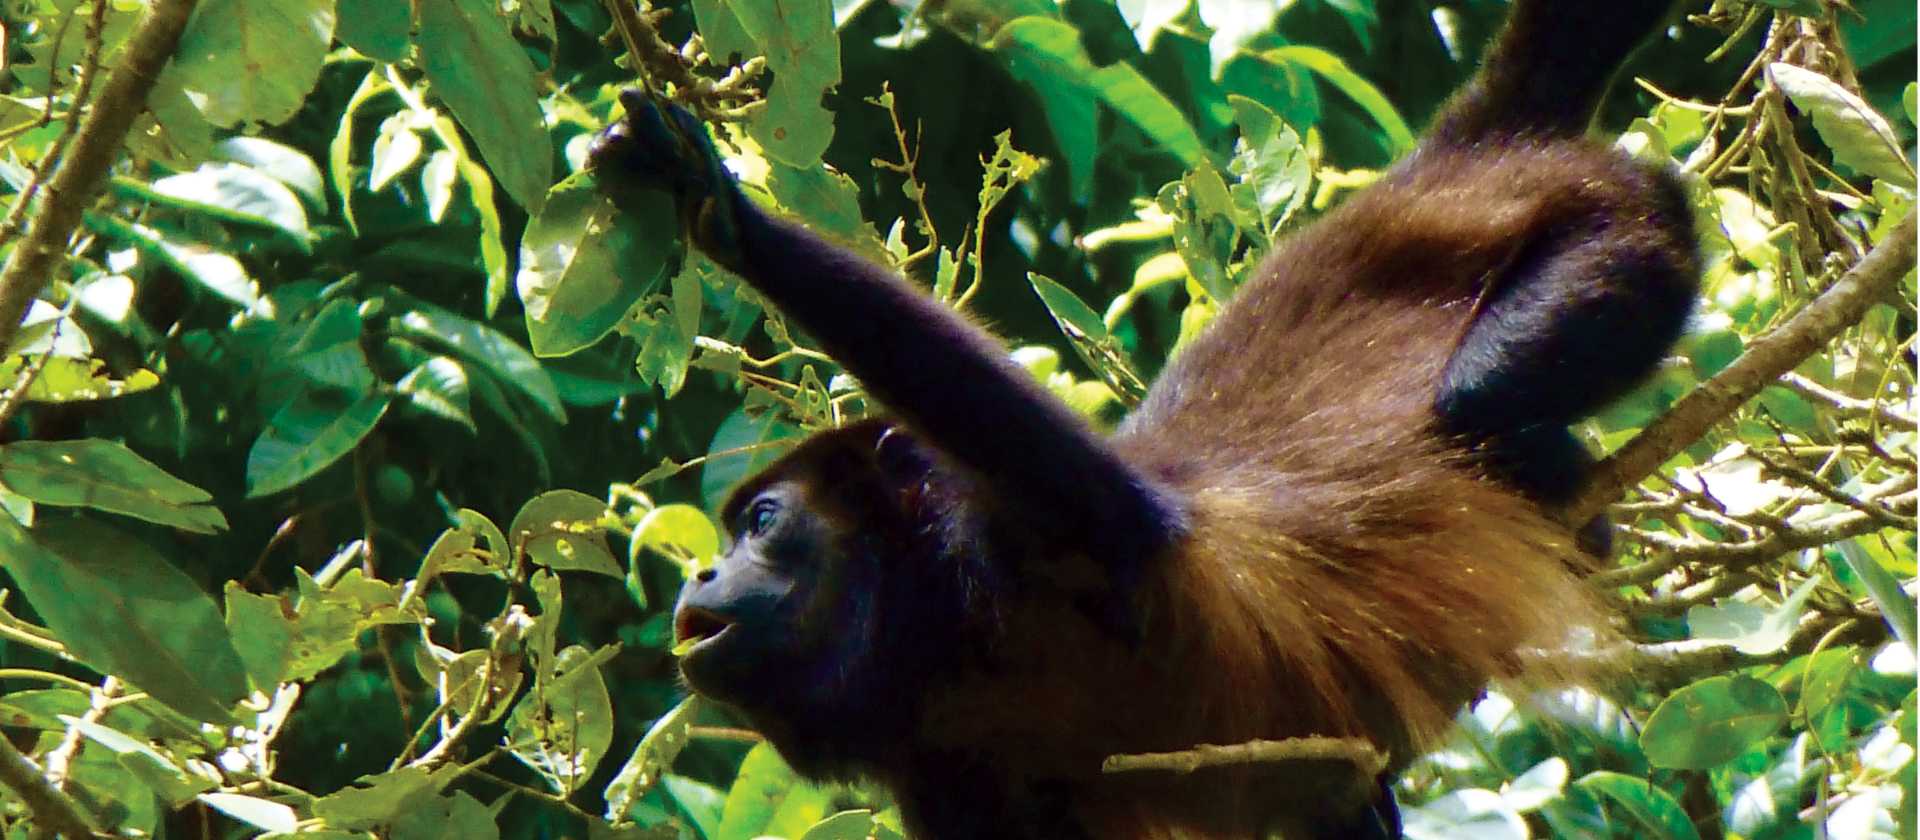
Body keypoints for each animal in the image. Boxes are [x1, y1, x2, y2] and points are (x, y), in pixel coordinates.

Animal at [588, 0, 1698, 836]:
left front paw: (717, 208)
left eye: (762, 523)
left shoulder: (1056, 524)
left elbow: (1013, 421)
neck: (950, 646)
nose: (698, 574)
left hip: (1615, 222)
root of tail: (1466, 155)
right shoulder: (945, 782)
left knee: (1486, 387)